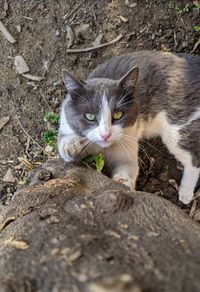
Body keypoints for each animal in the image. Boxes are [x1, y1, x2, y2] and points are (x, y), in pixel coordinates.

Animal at [57, 50, 200, 204]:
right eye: (90, 116)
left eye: (118, 114)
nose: (105, 135)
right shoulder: (65, 123)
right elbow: (63, 145)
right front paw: (73, 146)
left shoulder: (127, 143)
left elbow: (128, 167)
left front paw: (124, 183)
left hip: (176, 128)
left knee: (194, 159)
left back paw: (186, 192)